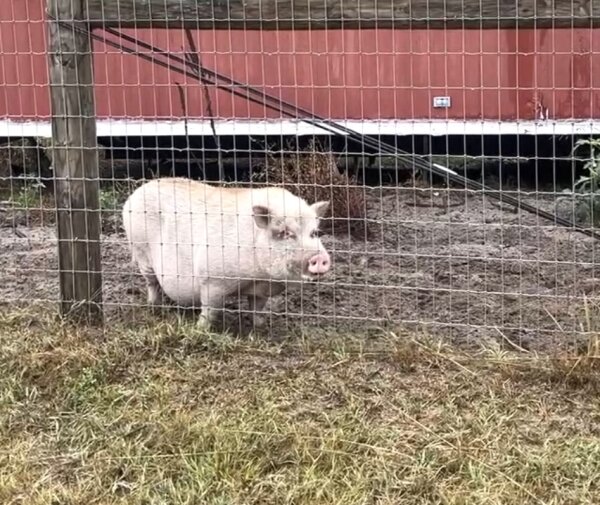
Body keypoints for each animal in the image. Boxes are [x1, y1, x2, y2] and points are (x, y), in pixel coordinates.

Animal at [121, 177, 331, 328]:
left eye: (314, 233)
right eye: (285, 233)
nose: (320, 258)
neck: (258, 277)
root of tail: (136, 193)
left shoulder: (262, 290)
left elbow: (258, 308)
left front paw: (261, 327)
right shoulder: (212, 280)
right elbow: (210, 309)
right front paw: (201, 329)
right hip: (141, 250)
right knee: (152, 282)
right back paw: (155, 308)